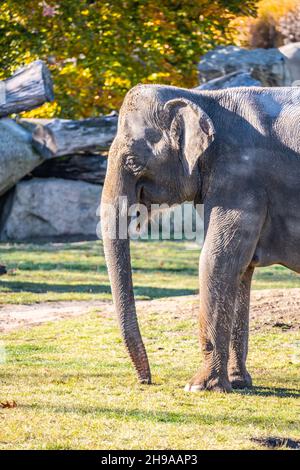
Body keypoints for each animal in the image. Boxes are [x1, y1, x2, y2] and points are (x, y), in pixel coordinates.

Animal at [101, 84, 300, 392]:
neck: (204, 98)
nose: (147, 380)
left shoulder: (240, 179)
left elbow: (217, 259)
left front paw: (199, 387)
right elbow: (241, 268)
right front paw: (238, 383)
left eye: (133, 161)